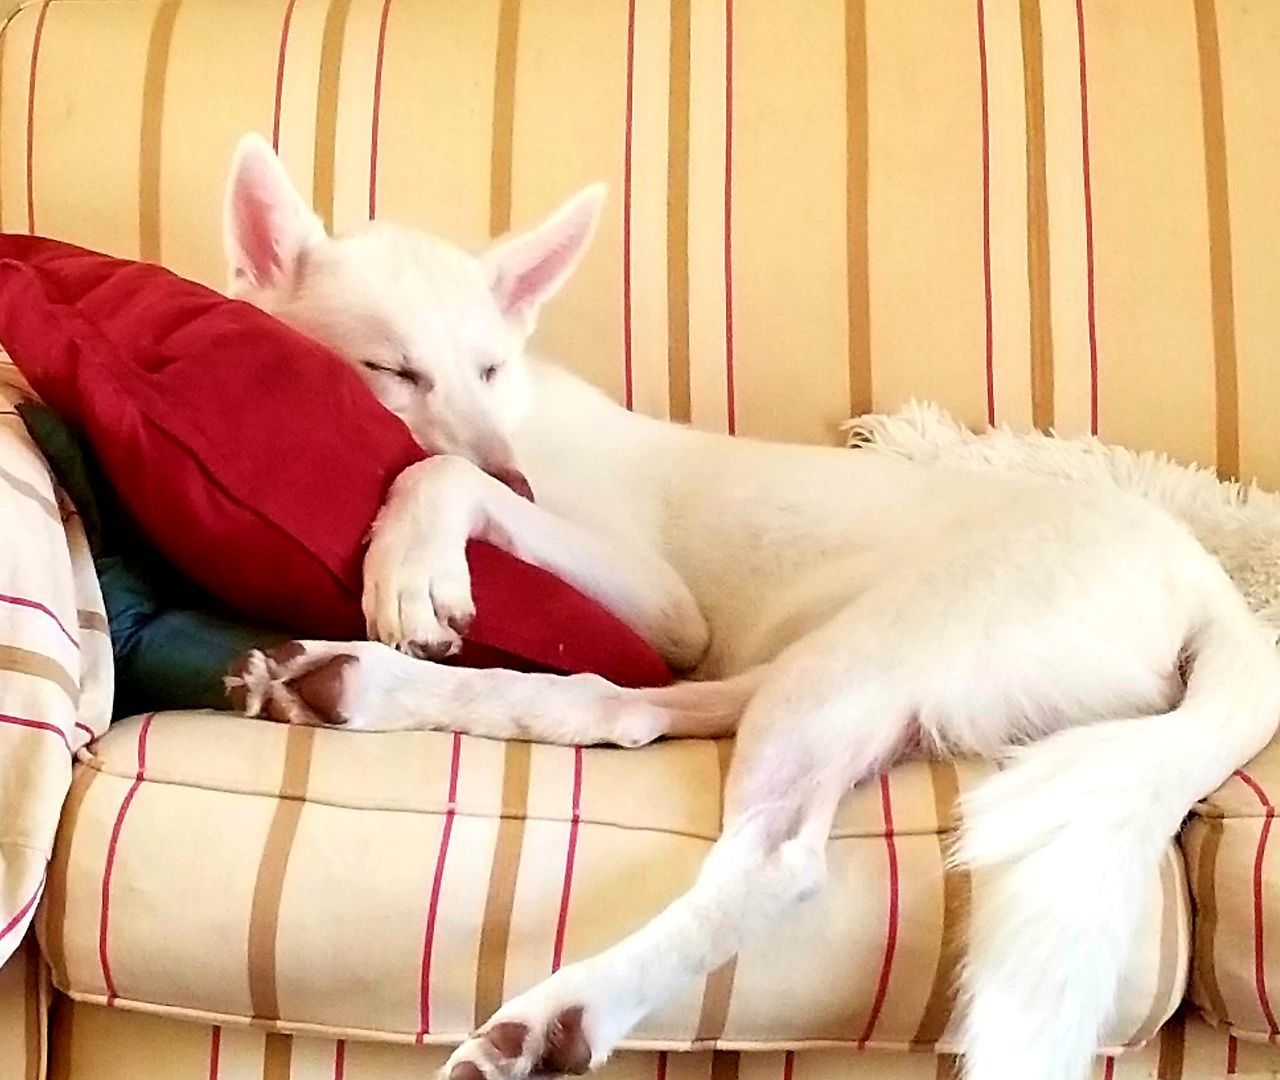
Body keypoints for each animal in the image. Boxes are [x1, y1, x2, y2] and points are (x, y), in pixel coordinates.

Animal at [222, 135, 1280, 1080]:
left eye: (488, 368)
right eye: (390, 371)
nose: (515, 472)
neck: (523, 416)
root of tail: (1206, 585)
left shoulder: (663, 601)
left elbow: (445, 474)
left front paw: (412, 559)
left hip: (870, 656)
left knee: (770, 857)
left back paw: (561, 1012)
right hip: (830, 660)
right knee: (636, 709)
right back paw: (350, 684)